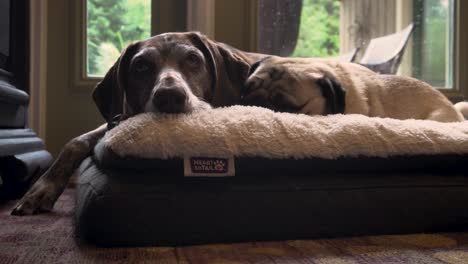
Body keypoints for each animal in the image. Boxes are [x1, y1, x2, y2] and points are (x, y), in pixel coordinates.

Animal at [11, 32, 266, 216]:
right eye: (141, 65)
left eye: (193, 59)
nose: (170, 96)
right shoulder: (114, 120)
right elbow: (75, 142)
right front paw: (40, 190)